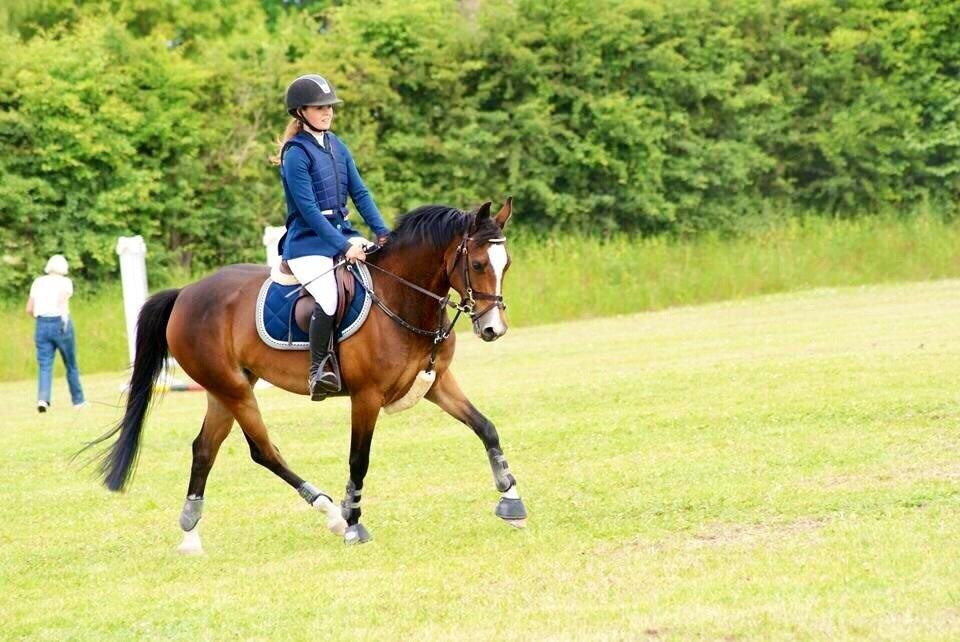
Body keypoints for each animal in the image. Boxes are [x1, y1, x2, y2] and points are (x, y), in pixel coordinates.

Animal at [91, 199, 526, 551]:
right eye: (478, 264)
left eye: (506, 265)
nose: (494, 329)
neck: (402, 297)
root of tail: (186, 293)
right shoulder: (366, 397)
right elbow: (358, 460)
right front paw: (353, 524)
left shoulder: (437, 383)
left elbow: (486, 428)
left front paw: (512, 501)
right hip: (235, 391)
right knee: (262, 451)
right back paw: (331, 514)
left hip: (223, 389)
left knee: (204, 449)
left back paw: (190, 536)